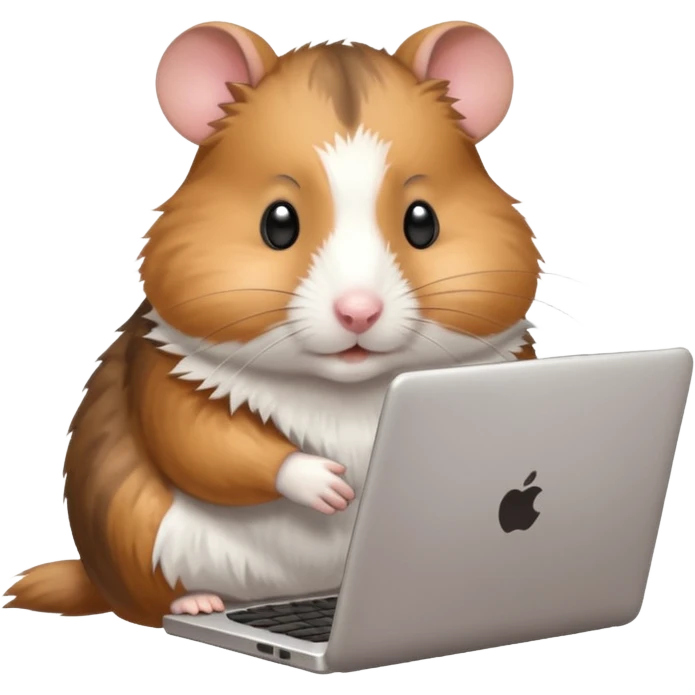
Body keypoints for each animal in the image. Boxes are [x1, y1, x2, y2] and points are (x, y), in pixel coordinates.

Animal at [2, 20, 541, 628]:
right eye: (278, 223)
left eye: (422, 222)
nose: (358, 311)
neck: (346, 390)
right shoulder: (164, 372)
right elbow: (203, 440)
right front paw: (331, 486)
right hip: (139, 544)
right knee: (150, 601)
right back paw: (199, 601)